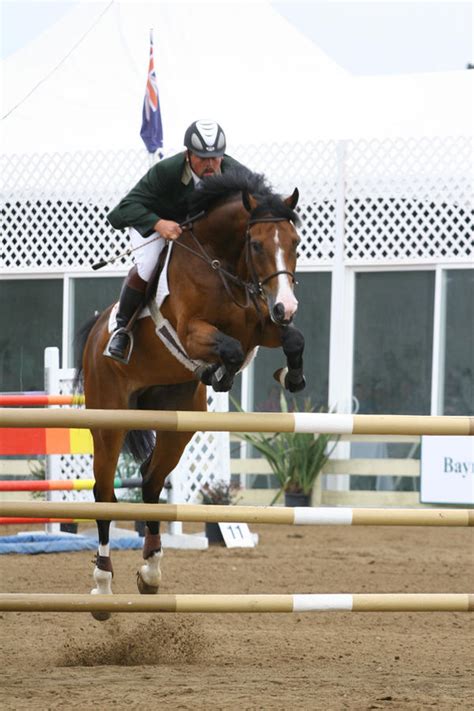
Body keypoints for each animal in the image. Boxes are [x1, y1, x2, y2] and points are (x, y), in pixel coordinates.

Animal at [74, 168, 304, 616]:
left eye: (295, 242)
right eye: (255, 244)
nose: (286, 305)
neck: (222, 262)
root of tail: (94, 336)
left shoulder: (261, 325)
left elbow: (291, 338)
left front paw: (291, 376)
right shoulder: (193, 332)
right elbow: (231, 348)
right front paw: (222, 373)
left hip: (177, 426)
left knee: (150, 482)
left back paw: (151, 571)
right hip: (109, 422)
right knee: (104, 494)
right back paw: (103, 585)